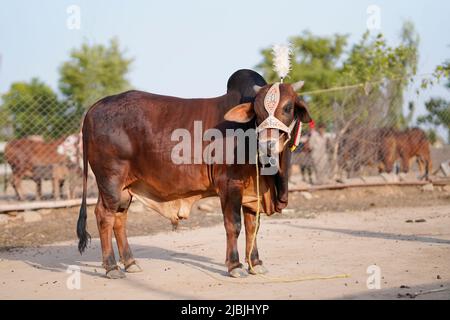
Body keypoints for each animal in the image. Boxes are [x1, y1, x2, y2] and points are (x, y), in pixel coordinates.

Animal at [76, 69, 310, 278]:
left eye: (288, 107)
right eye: (258, 112)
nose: (267, 145)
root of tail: (95, 107)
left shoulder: (253, 192)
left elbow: (253, 226)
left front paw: (256, 263)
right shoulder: (229, 184)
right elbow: (233, 224)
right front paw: (235, 266)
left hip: (125, 188)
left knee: (119, 218)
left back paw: (130, 263)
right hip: (110, 180)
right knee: (104, 215)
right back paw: (111, 267)